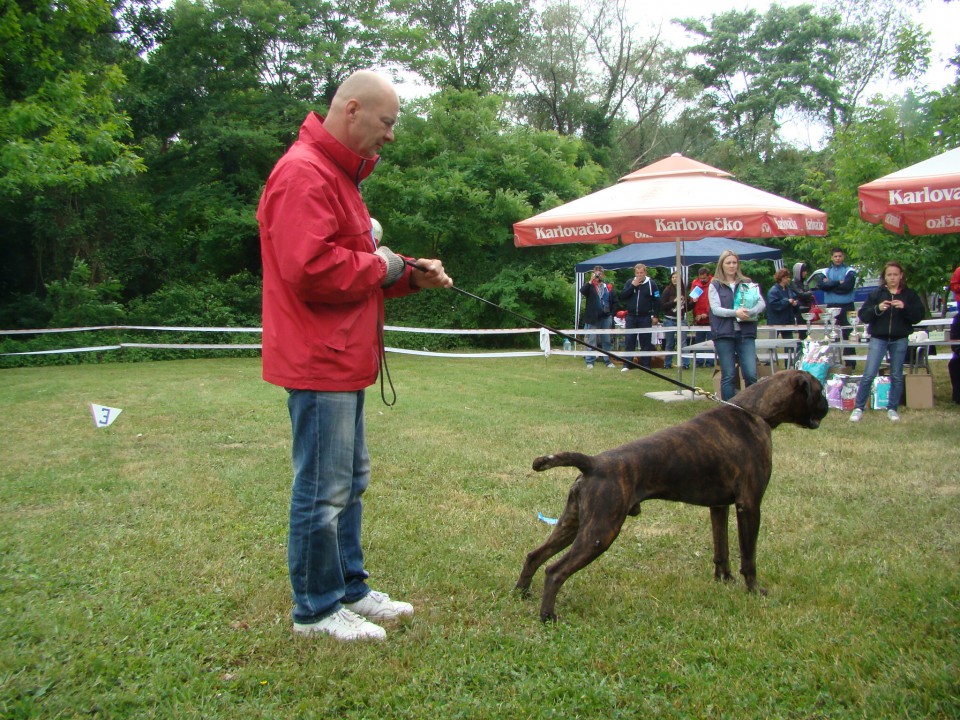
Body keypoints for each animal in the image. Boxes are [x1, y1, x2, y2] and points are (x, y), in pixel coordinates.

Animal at [516, 368, 824, 620]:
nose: (828, 407)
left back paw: (522, 592)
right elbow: (749, 557)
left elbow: (721, 549)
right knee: (555, 570)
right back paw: (547, 615)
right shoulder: (749, 505)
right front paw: (754, 590)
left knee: (535, 555)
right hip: (600, 532)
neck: (755, 410)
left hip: (573, 523)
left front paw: (724, 581)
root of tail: (593, 463)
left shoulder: (719, 507)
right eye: (820, 390)